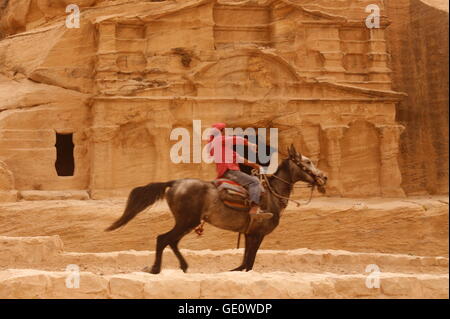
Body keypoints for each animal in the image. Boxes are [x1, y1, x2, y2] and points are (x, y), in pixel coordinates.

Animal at [105, 144, 326, 272]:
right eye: (307, 162)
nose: (324, 177)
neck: (272, 195)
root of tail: (175, 183)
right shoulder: (258, 234)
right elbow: (249, 263)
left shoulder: (249, 234)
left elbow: (244, 262)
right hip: (187, 221)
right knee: (163, 239)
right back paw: (156, 268)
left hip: (186, 223)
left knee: (172, 241)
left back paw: (183, 266)